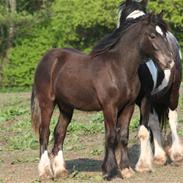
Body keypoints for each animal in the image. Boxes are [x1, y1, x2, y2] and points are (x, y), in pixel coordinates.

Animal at [31, 13, 173, 180]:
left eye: (164, 34)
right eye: (152, 35)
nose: (169, 61)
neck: (118, 68)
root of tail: (46, 59)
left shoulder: (128, 107)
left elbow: (123, 136)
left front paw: (126, 169)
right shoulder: (109, 107)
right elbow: (111, 137)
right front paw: (110, 171)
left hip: (66, 107)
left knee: (59, 133)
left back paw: (61, 171)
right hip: (47, 103)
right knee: (44, 133)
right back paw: (45, 171)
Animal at [118, 0, 182, 173]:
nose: (167, 59)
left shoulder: (145, 98)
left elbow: (143, 131)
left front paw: (143, 164)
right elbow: (145, 128)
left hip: (173, 92)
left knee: (172, 117)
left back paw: (176, 154)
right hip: (154, 99)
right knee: (154, 123)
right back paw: (159, 156)